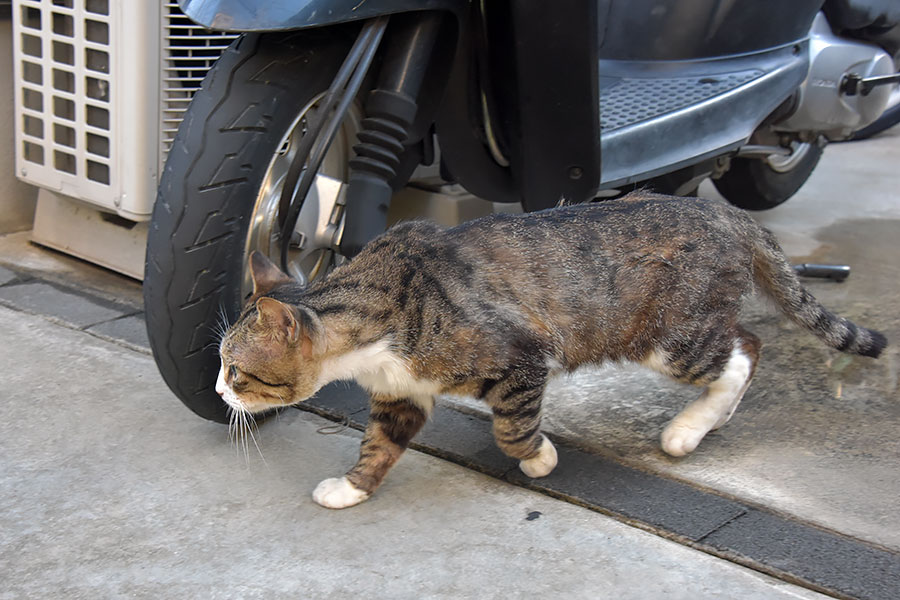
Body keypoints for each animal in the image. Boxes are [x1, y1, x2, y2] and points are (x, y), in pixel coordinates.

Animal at [214, 191, 884, 506]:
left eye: (238, 371)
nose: (219, 390)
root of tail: (727, 212)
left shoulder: (519, 361)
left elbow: (512, 428)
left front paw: (539, 460)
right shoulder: (400, 394)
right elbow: (378, 445)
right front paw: (352, 488)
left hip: (670, 336)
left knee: (743, 351)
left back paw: (688, 429)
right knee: (746, 341)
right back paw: (712, 420)